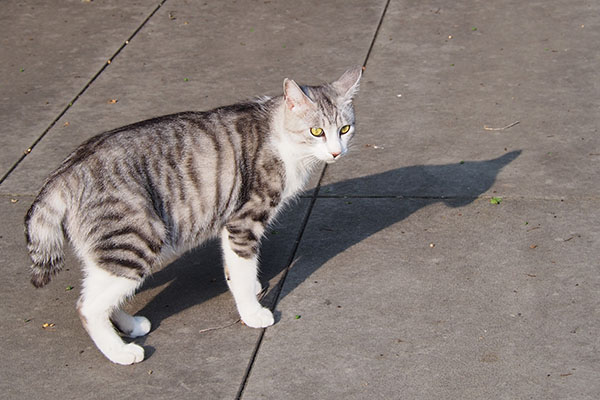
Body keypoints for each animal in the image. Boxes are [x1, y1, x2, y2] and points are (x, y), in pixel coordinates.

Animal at [24, 66, 360, 366]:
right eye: (316, 131)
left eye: (344, 129)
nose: (336, 152)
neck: (282, 139)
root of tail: (65, 172)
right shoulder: (243, 222)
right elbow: (241, 271)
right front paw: (252, 312)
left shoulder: (230, 225)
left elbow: (236, 270)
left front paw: (251, 289)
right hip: (136, 240)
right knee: (88, 307)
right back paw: (120, 353)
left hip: (110, 252)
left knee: (101, 292)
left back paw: (130, 326)